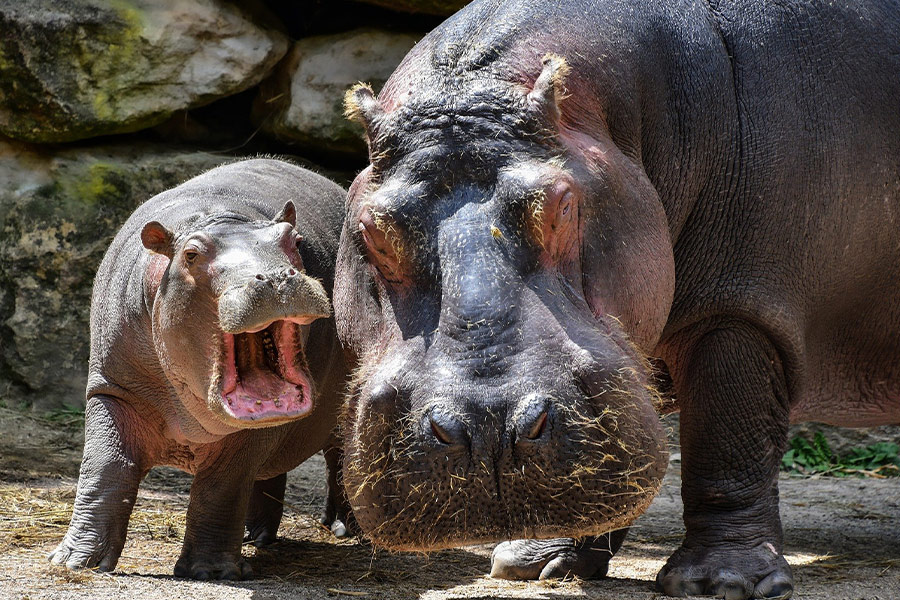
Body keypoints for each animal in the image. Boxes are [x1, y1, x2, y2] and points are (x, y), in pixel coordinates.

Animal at [50, 159, 349, 580]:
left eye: (294, 239)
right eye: (190, 254)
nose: (276, 277)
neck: (218, 217)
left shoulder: (247, 435)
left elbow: (222, 486)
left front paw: (209, 572)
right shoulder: (113, 389)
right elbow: (105, 467)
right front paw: (76, 561)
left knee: (340, 454)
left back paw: (343, 528)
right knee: (270, 473)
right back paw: (255, 537)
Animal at [334, 0, 900, 597]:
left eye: (562, 204)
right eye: (372, 228)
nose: (488, 426)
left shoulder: (740, 307)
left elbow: (727, 440)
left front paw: (721, 581)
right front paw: (539, 563)